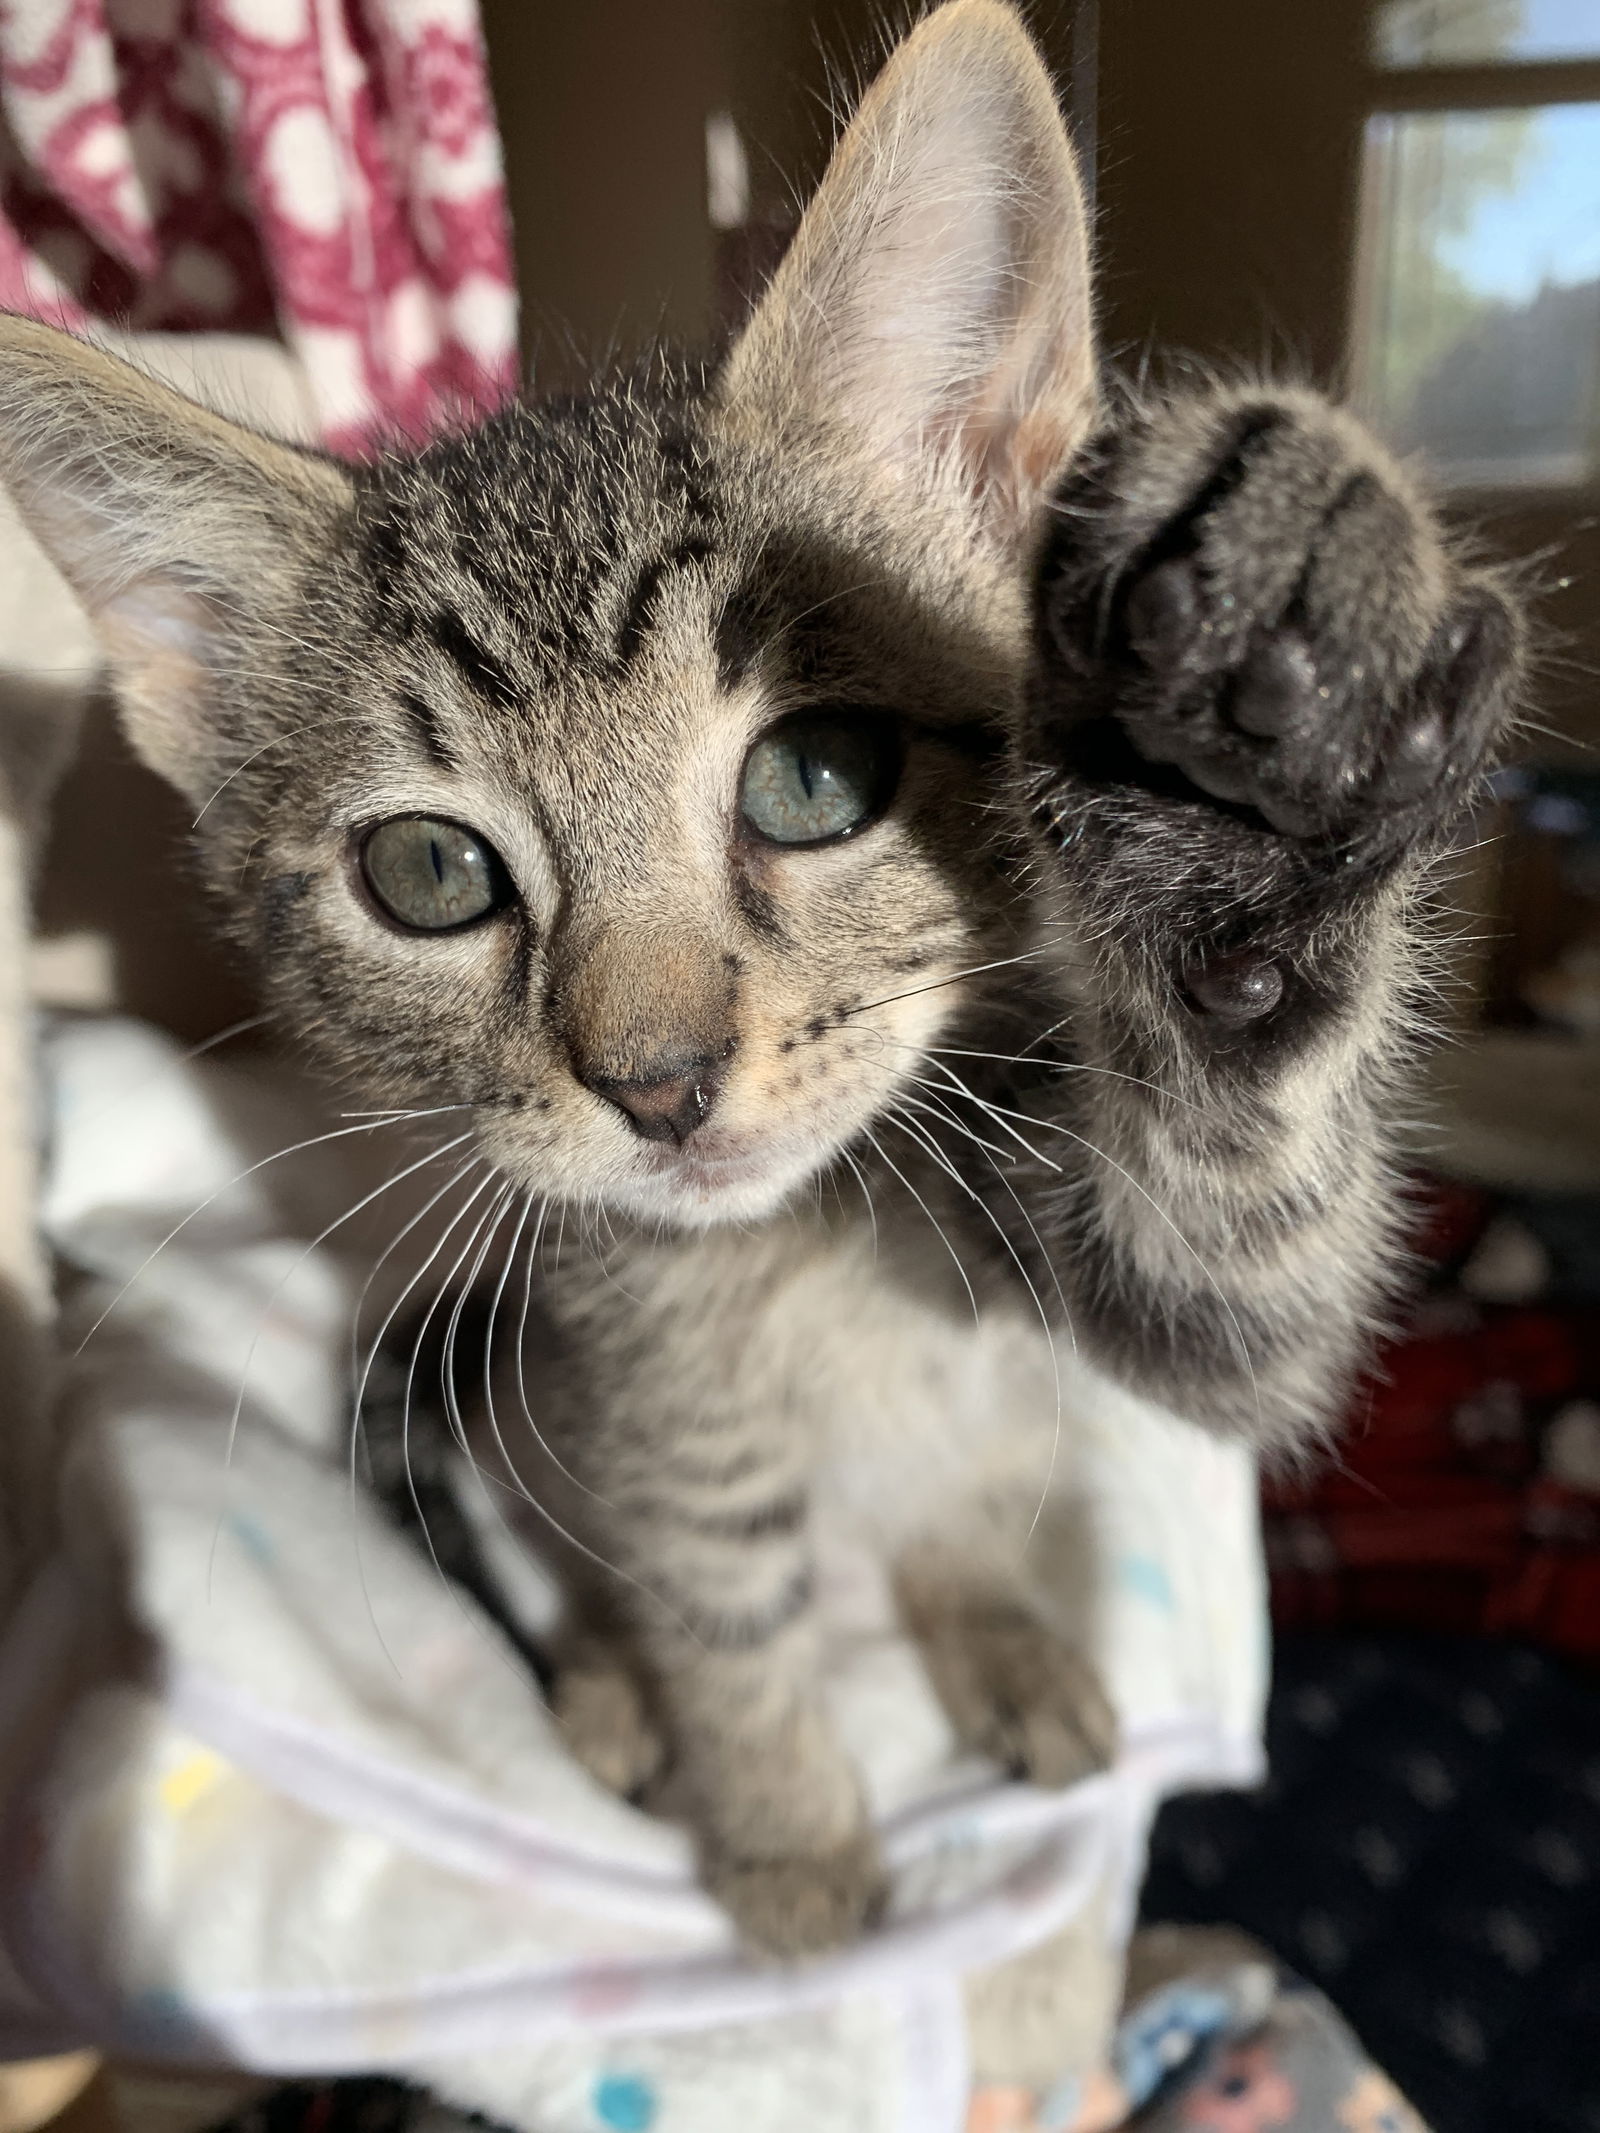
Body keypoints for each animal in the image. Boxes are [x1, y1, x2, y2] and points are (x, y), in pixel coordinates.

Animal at [0, 4, 1518, 1962]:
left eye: (814, 776)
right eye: (428, 874)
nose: (657, 1080)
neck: (817, 1245)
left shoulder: (1152, 1282)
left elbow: (1243, 1269)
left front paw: (1256, 754)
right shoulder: (650, 1386)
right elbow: (723, 1604)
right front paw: (790, 1837)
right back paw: (606, 1684)